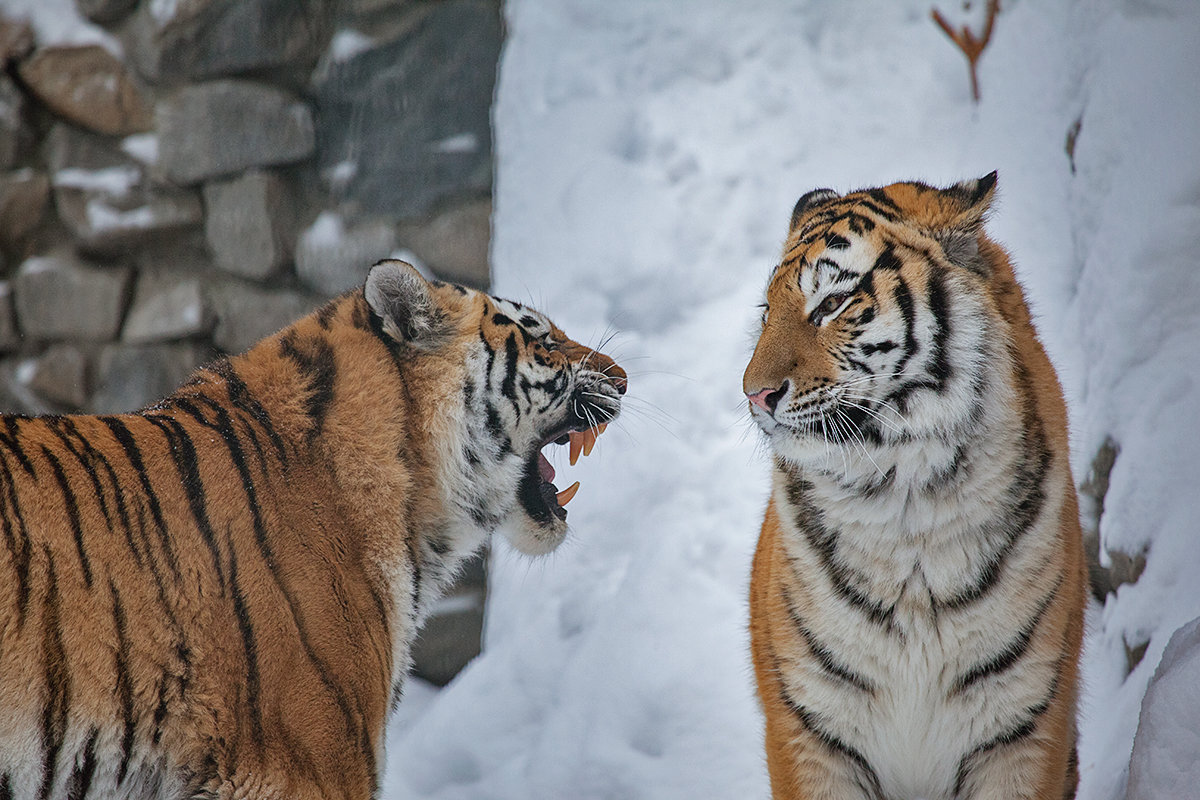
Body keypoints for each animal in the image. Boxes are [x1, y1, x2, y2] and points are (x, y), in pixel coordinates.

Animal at [744, 175, 1084, 800]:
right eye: (765, 312)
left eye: (831, 303)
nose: (754, 394)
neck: (902, 501)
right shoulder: (810, 733)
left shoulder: (1023, 730)